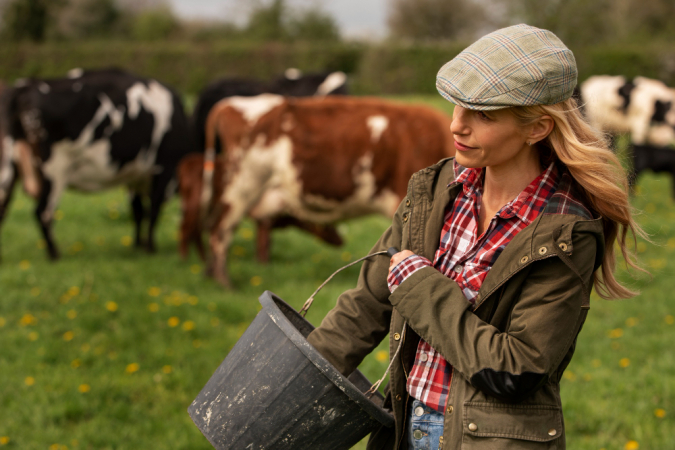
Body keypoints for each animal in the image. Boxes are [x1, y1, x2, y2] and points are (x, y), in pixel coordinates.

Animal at [1, 68, 193, 262]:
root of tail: (26, 86)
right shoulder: (164, 168)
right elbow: (153, 210)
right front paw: (150, 248)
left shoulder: (134, 175)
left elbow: (138, 210)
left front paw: (137, 245)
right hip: (54, 170)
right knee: (43, 212)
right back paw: (55, 254)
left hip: (10, 168)